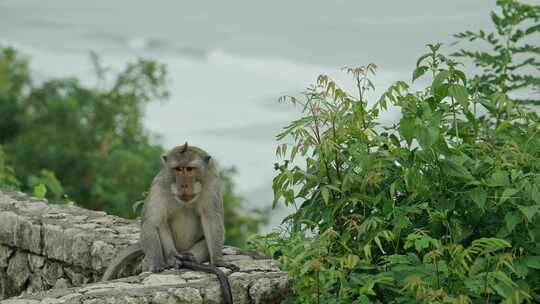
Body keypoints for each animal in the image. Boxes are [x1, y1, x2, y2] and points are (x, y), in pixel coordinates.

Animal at [102, 143, 233, 304]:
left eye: (189, 169)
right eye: (178, 169)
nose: (183, 186)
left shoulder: (212, 185)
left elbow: (211, 219)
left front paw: (218, 261)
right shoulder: (159, 185)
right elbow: (151, 223)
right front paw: (157, 264)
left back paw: (189, 257)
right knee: (161, 224)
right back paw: (172, 257)